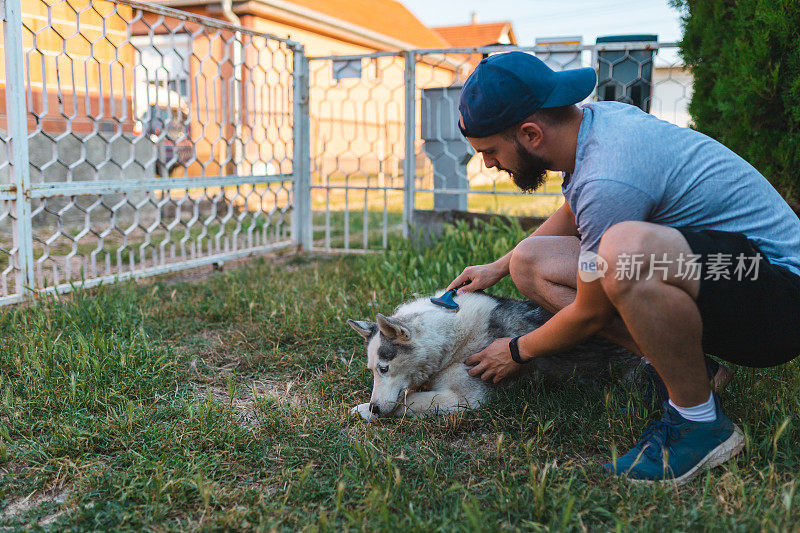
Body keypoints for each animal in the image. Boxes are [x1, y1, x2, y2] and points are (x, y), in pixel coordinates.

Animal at [346, 288, 636, 418]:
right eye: (373, 371)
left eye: (384, 369)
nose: (375, 406)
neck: (452, 338)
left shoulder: (466, 400)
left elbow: (410, 401)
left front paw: (363, 410)